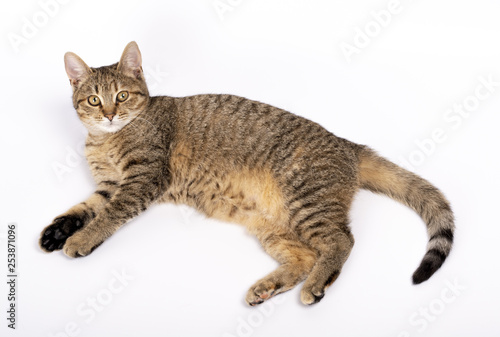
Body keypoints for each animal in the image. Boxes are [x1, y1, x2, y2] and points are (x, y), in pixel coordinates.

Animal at [38, 41, 454, 304]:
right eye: (94, 100)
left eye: (122, 96)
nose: (109, 114)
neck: (106, 139)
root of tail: (347, 144)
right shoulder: (109, 185)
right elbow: (85, 207)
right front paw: (59, 230)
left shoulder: (141, 180)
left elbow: (108, 215)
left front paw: (81, 239)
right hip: (271, 224)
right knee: (304, 257)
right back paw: (270, 286)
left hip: (306, 202)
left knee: (341, 241)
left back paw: (317, 285)